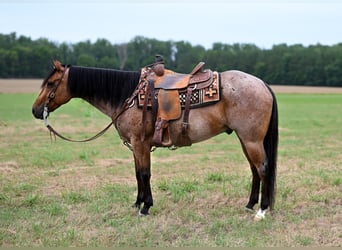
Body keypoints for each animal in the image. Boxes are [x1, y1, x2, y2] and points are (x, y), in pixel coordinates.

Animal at [32, 59, 278, 220]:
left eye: (51, 84)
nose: (35, 110)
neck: (128, 95)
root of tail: (262, 84)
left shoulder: (140, 143)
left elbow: (144, 174)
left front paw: (146, 207)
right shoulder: (135, 146)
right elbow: (137, 173)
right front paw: (137, 203)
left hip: (251, 140)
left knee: (263, 168)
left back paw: (262, 210)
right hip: (244, 140)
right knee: (254, 170)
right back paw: (249, 205)